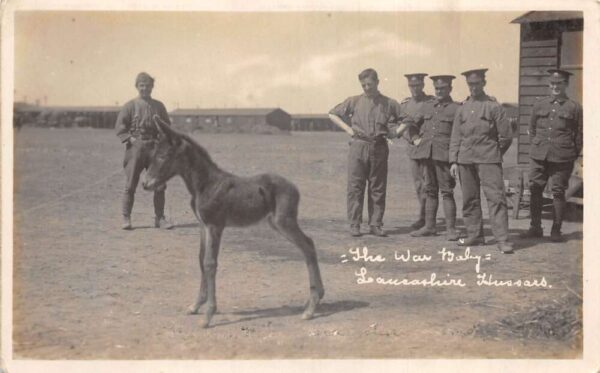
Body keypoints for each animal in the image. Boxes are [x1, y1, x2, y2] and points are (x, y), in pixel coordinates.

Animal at [142, 115, 324, 326]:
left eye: (163, 155)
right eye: (153, 154)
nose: (145, 184)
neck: (205, 184)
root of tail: (295, 188)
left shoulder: (215, 226)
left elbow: (210, 263)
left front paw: (208, 315)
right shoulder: (203, 226)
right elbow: (201, 259)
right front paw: (196, 306)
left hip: (284, 222)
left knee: (308, 246)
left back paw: (311, 308)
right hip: (275, 223)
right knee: (308, 246)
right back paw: (314, 301)